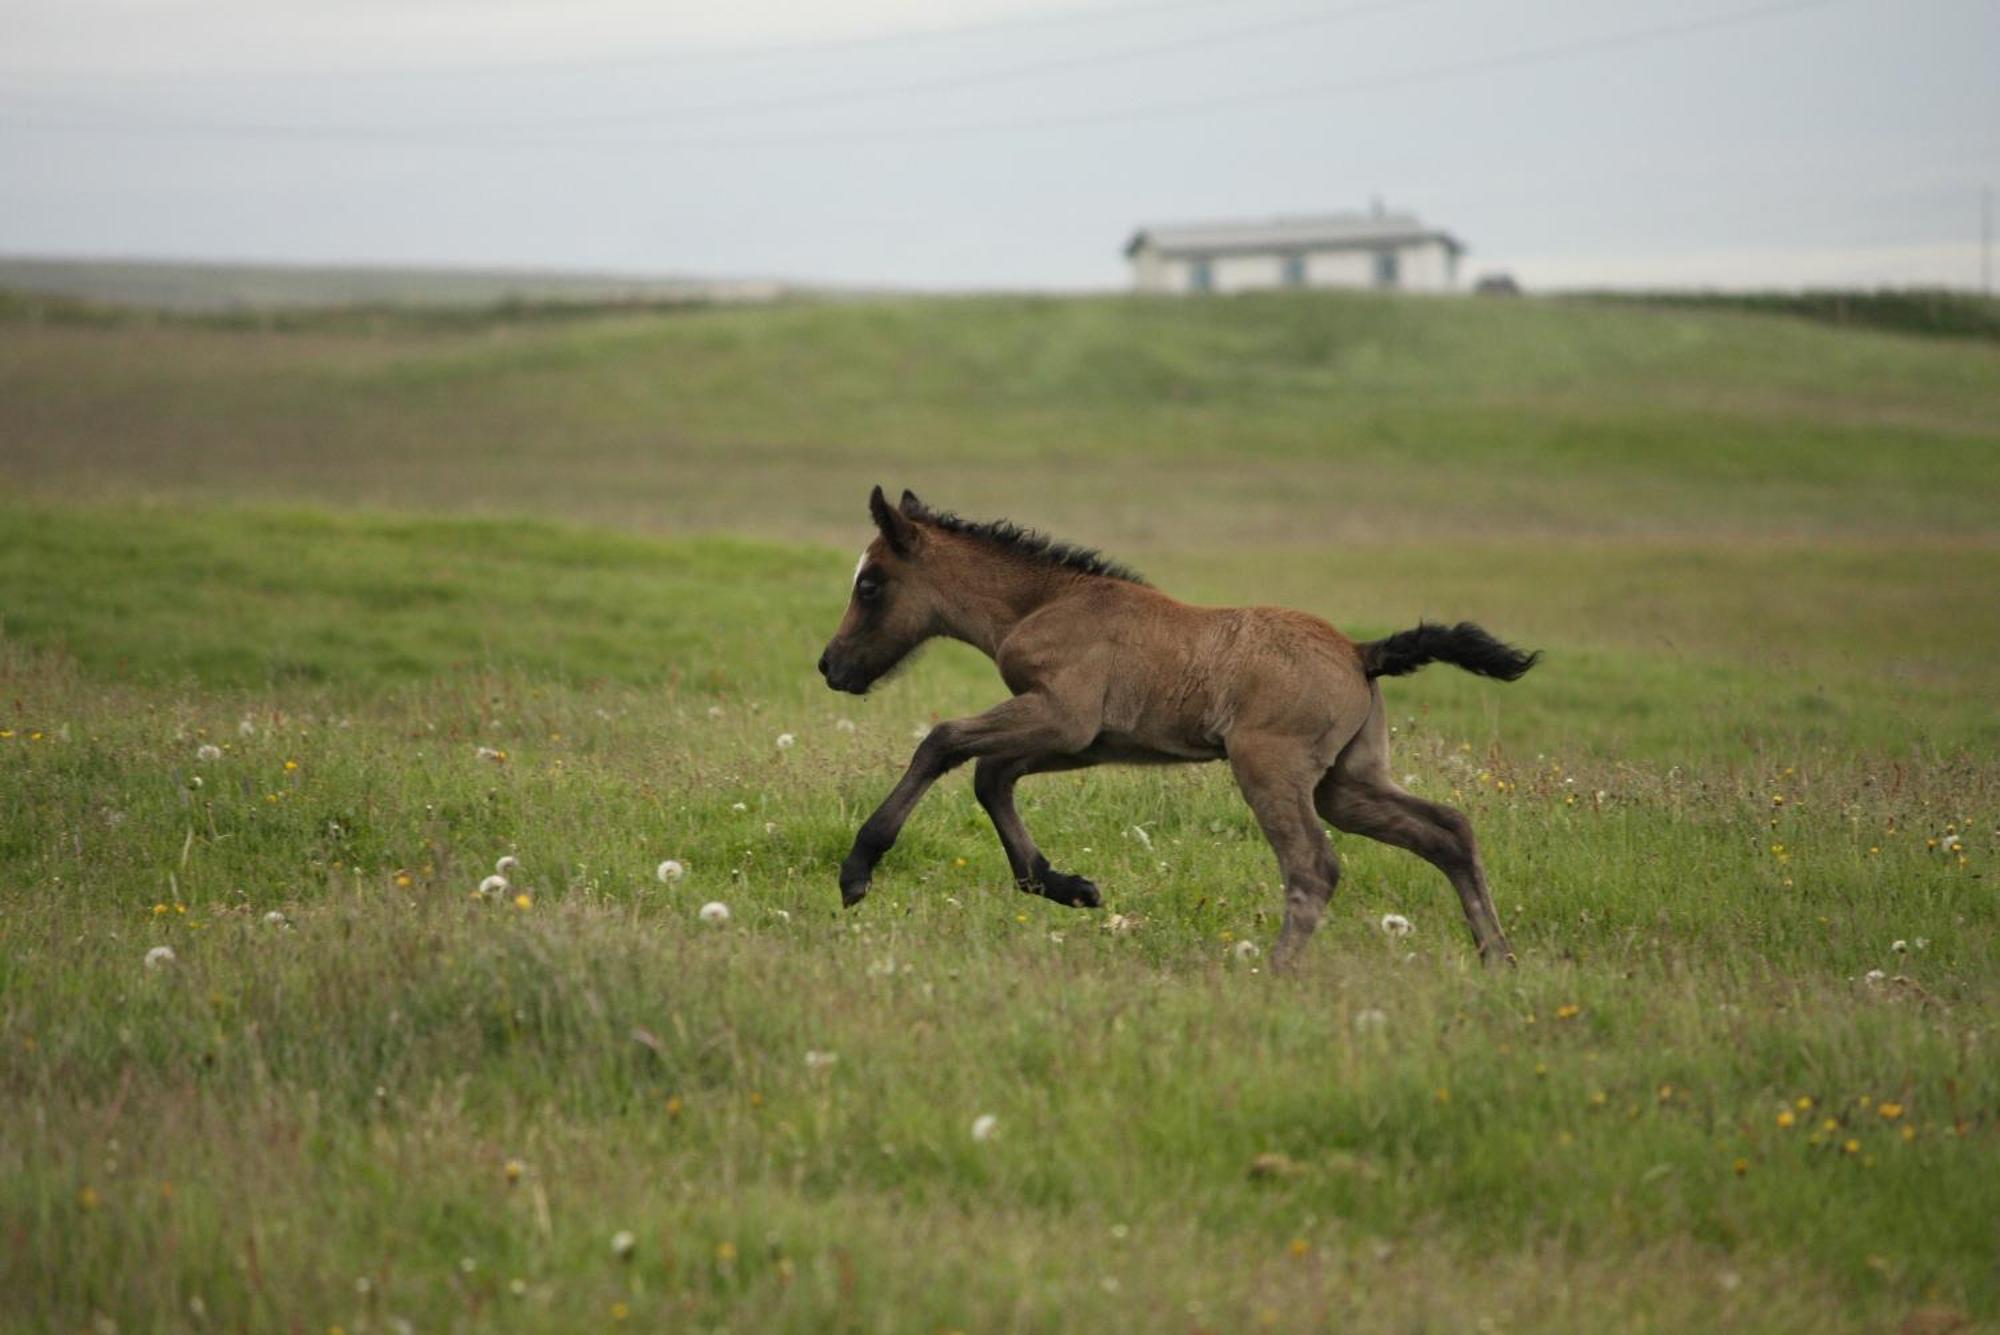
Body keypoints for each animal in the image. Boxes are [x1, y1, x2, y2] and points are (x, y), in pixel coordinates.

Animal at [820, 485, 1536, 963]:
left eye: (871, 584)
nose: (831, 666)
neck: (1044, 603)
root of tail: (1362, 653)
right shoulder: (1085, 740)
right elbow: (991, 777)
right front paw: (1067, 887)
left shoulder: (1061, 716)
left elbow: (942, 743)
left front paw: (858, 869)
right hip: (1347, 782)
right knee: (1447, 831)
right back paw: (1496, 959)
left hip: (1270, 768)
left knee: (1313, 866)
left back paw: (1277, 973)